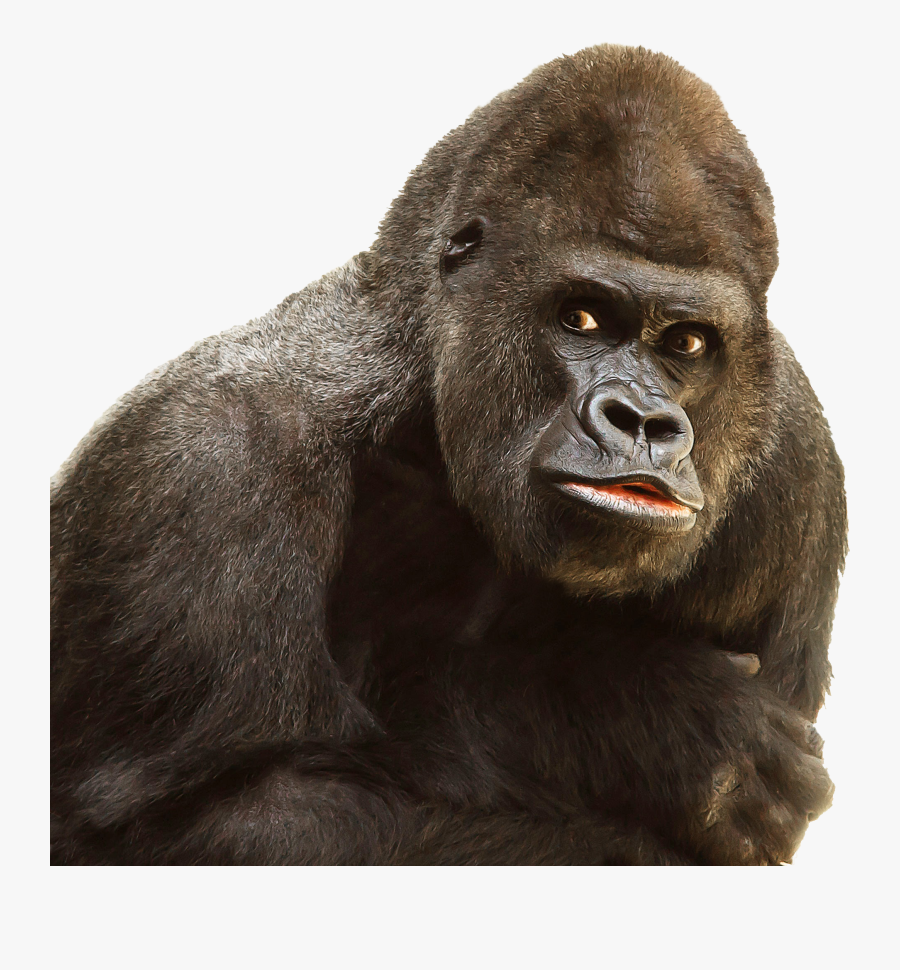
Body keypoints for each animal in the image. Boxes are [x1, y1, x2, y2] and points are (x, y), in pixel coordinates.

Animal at [50, 44, 844, 864]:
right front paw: (636, 717)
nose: (643, 422)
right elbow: (201, 820)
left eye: (686, 342)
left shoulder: (795, 463)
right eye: (581, 318)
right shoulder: (204, 463)